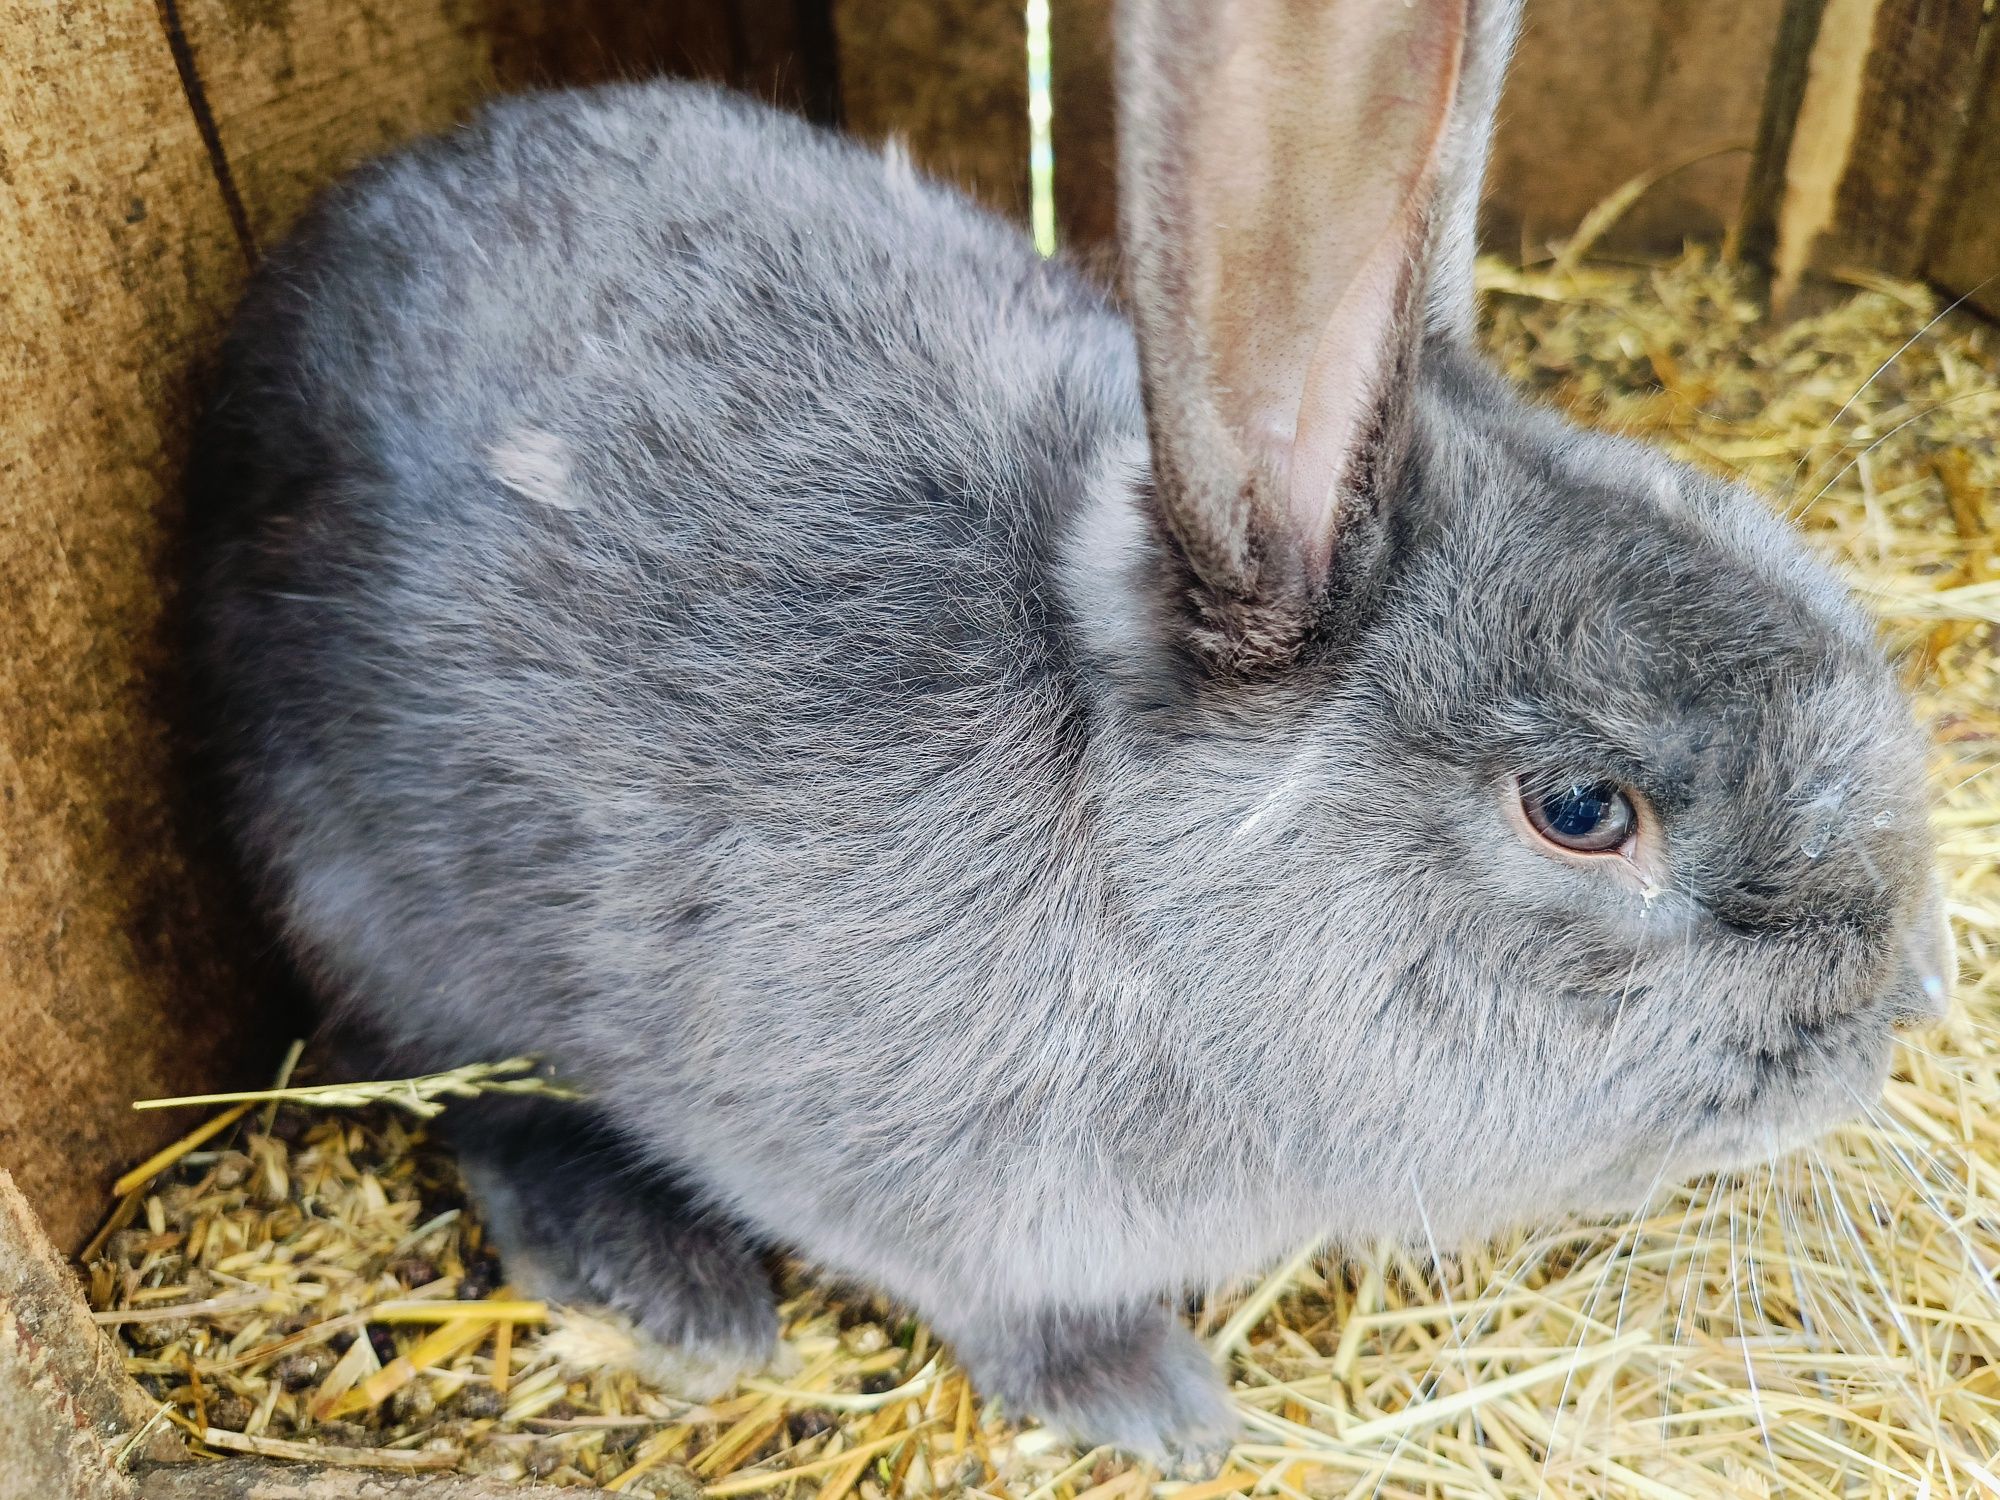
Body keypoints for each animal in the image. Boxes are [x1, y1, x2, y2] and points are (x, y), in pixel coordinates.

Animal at [195, 0, 1944, 1472]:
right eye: (1583, 807)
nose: (1902, 1006)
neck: (1150, 908)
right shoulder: (891, 1177)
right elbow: (1001, 1299)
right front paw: (1159, 1408)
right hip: (379, 913)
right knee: (459, 1091)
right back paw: (669, 1287)